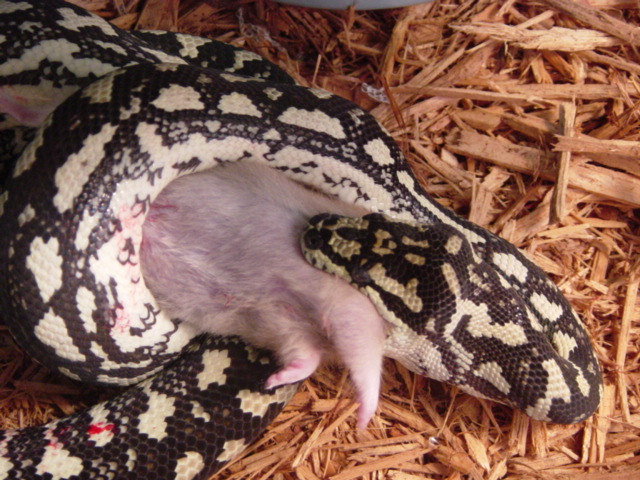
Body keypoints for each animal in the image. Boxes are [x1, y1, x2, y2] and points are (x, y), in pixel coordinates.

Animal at [140, 161, 387, 428]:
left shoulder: (294, 319)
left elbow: (311, 355)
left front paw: (272, 381)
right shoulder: (352, 308)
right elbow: (366, 363)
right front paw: (362, 422)